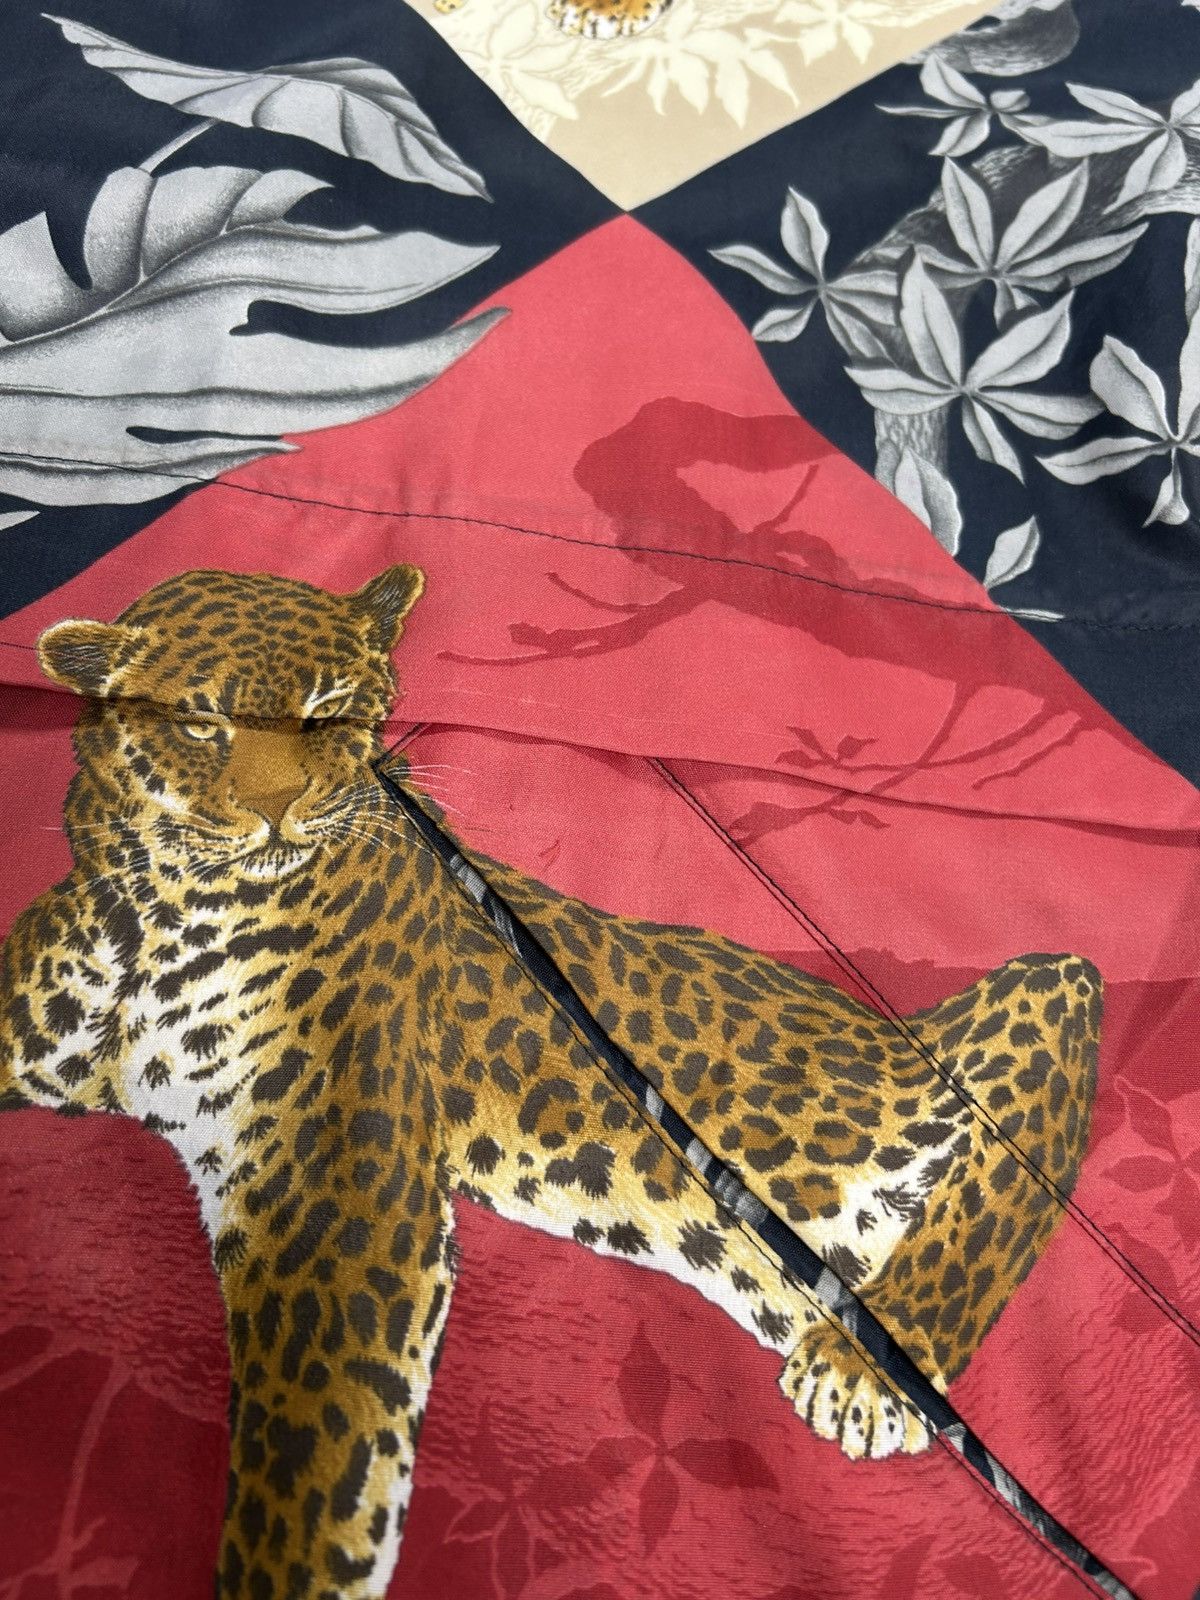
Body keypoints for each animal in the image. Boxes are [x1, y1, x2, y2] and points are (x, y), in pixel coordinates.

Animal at [0, 563, 1101, 1600]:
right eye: (199, 721)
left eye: (332, 712)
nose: (278, 810)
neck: (158, 921)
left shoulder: (334, 1200)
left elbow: (314, 1471)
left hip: (923, 1071)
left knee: (1061, 998)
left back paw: (871, 1361)